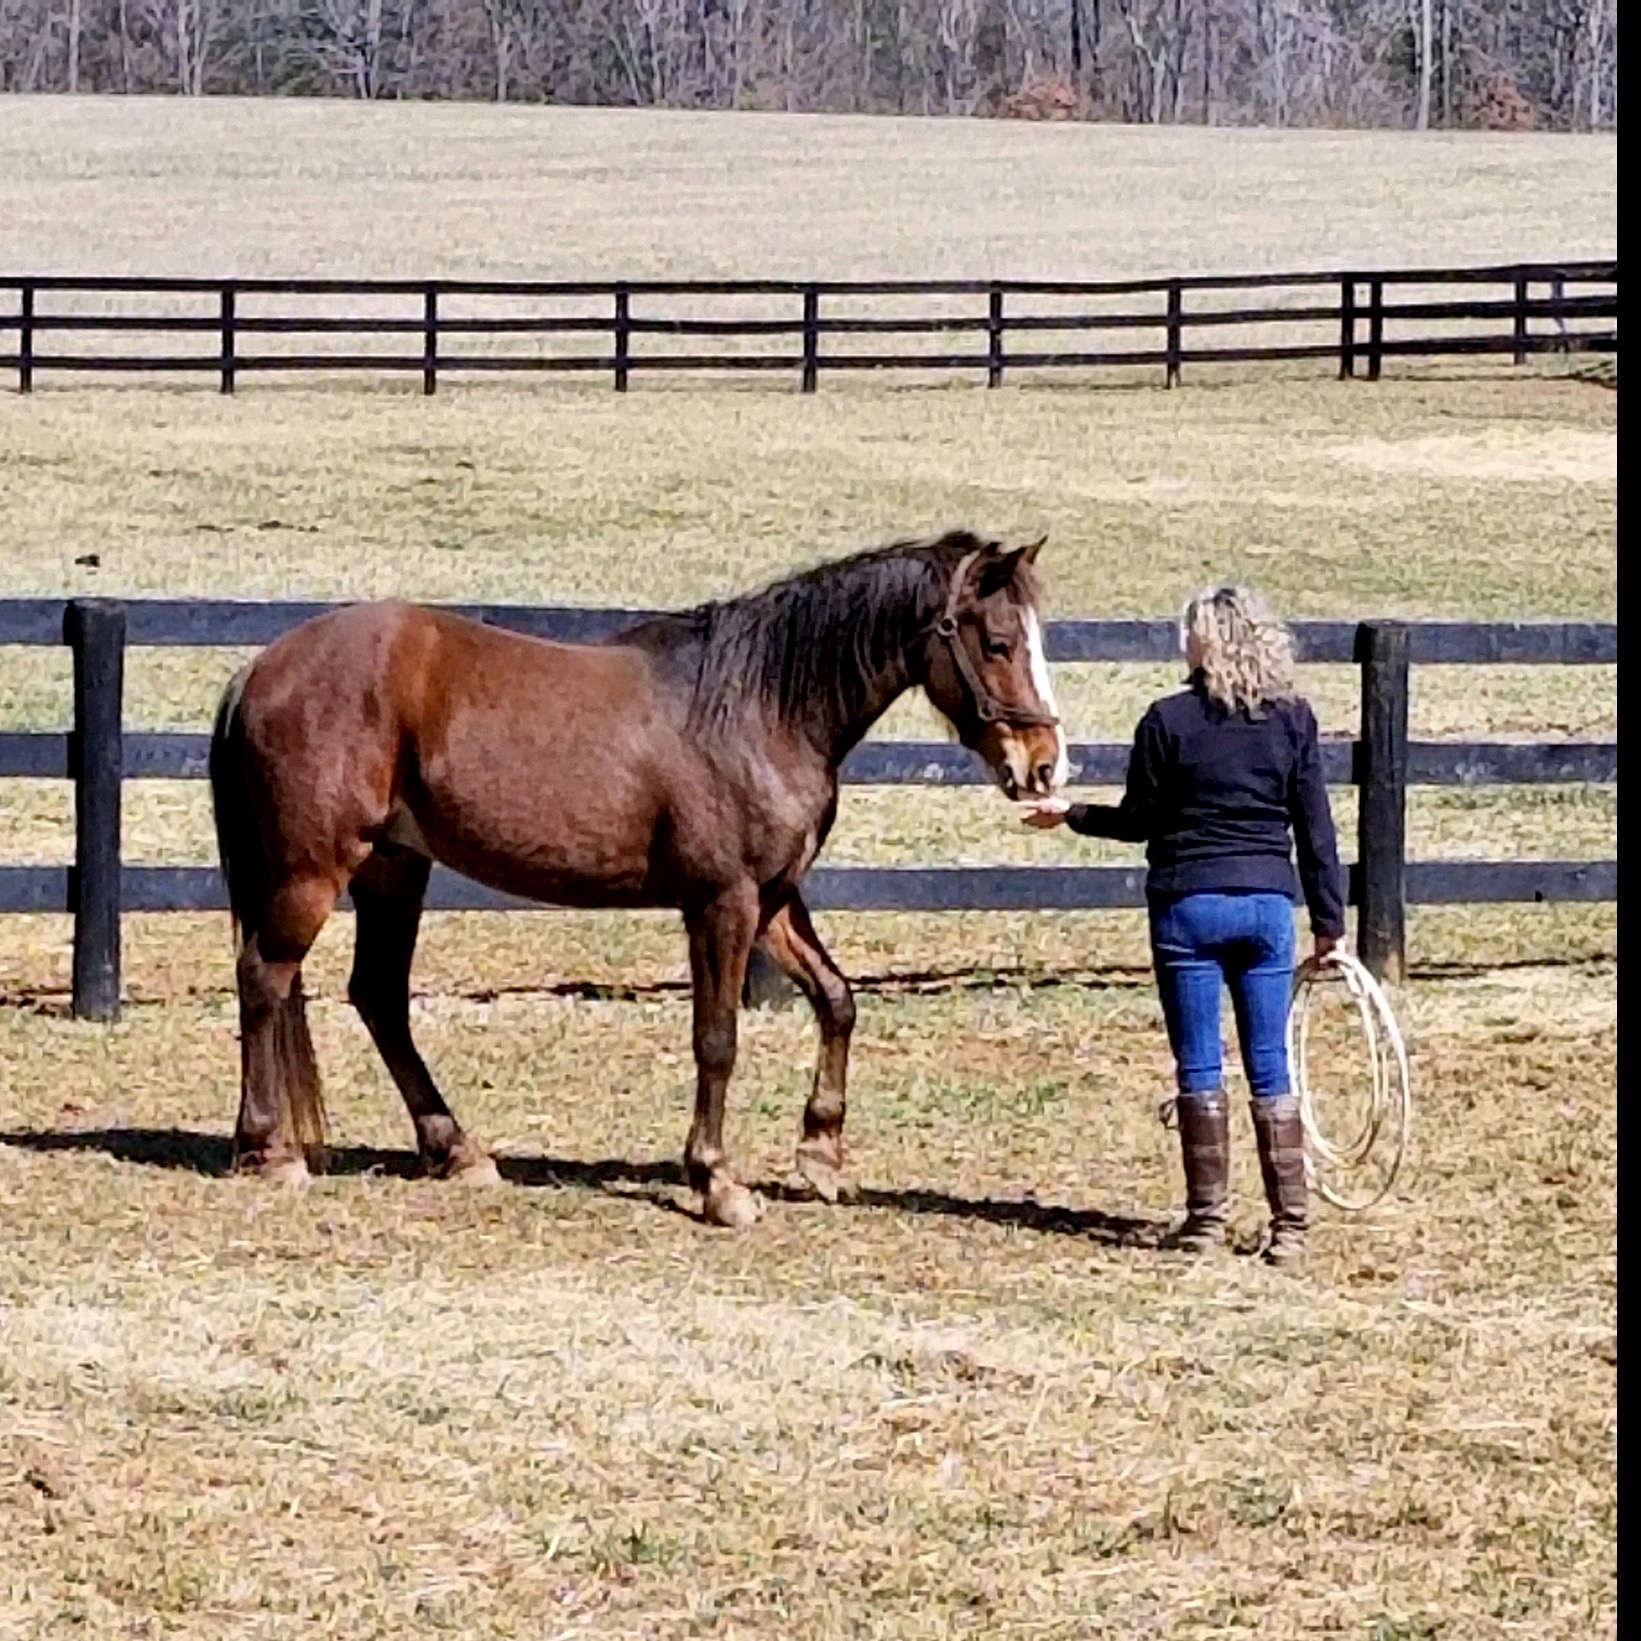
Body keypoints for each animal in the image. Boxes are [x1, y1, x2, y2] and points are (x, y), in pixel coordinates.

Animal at [208, 529, 1067, 1227]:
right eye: (996, 641)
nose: (1043, 766)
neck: (757, 709)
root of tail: (261, 664)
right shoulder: (722, 902)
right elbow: (716, 1040)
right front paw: (717, 1183)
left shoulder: (773, 899)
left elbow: (836, 999)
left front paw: (820, 1155)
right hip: (314, 869)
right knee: (264, 977)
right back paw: (271, 1150)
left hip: (394, 867)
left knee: (378, 995)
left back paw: (457, 1151)